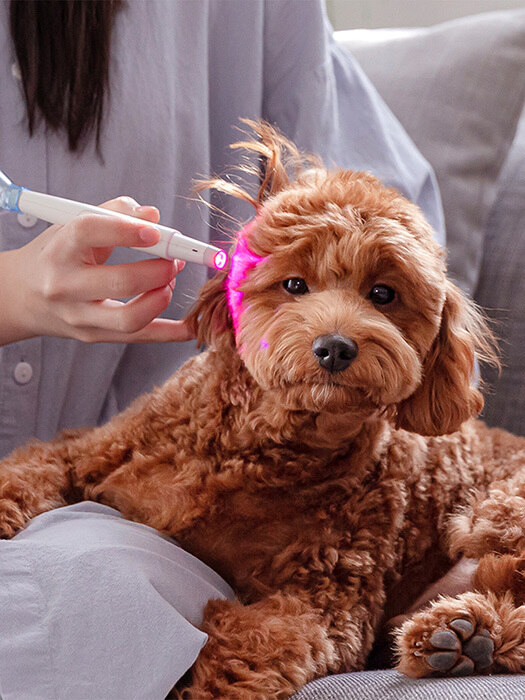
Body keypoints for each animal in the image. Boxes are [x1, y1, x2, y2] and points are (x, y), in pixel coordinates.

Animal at [3, 123, 524, 696]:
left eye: (383, 294)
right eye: (294, 284)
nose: (335, 347)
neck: (255, 448)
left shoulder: (325, 599)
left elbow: (254, 648)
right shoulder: (86, 450)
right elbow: (29, 469)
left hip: (497, 510)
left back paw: (461, 638)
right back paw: (461, 640)